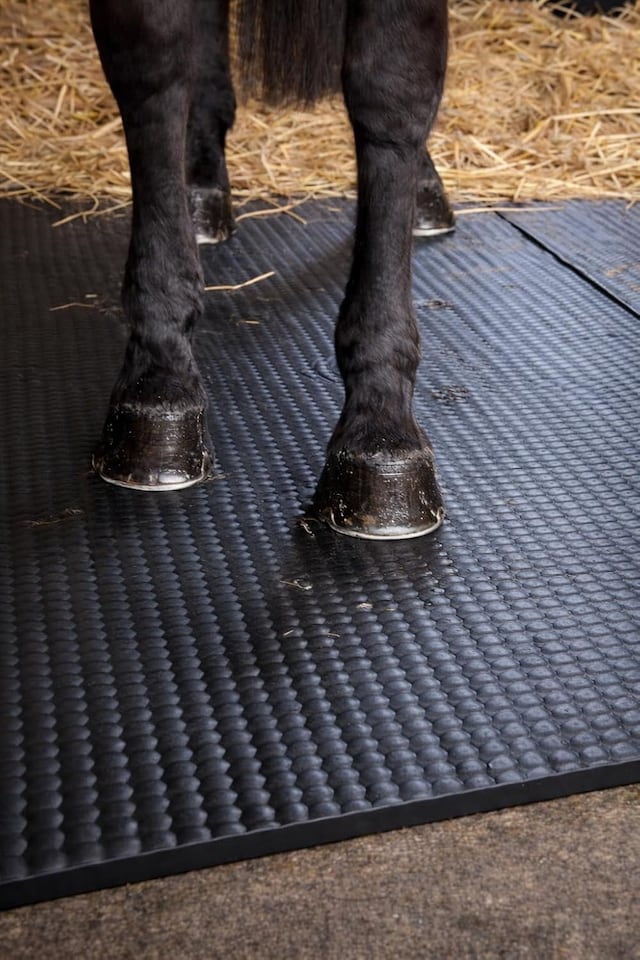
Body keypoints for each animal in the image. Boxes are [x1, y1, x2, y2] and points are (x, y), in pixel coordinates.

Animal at [89, 0, 453, 540]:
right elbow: (154, 58)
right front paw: (159, 373)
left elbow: (393, 88)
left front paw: (381, 425)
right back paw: (201, 180)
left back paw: (425, 187)